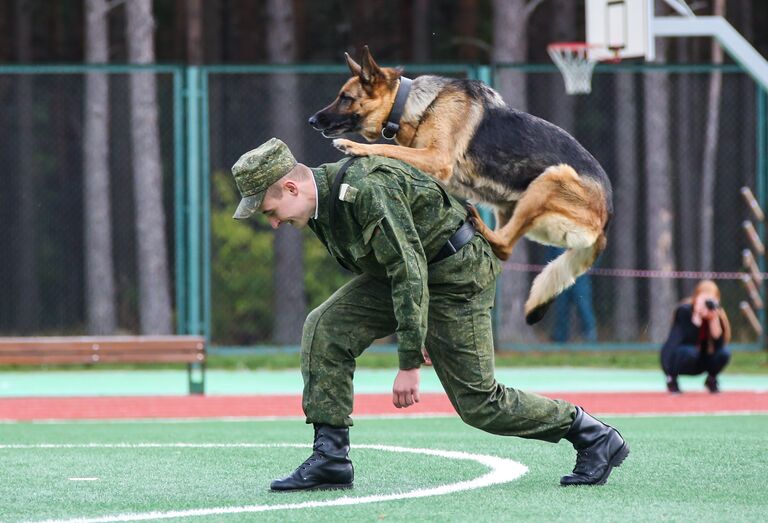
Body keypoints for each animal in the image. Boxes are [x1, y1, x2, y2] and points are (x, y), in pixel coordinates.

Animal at [306, 47, 612, 324]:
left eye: (346, 98)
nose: (311, 120)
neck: (412, 106)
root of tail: (604, 221)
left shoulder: (436, 158)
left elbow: (385, 148)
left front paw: (353, 146)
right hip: (508, 203)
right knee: (505, 246)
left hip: (551, 177)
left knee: (505, 246)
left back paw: (479, 222)